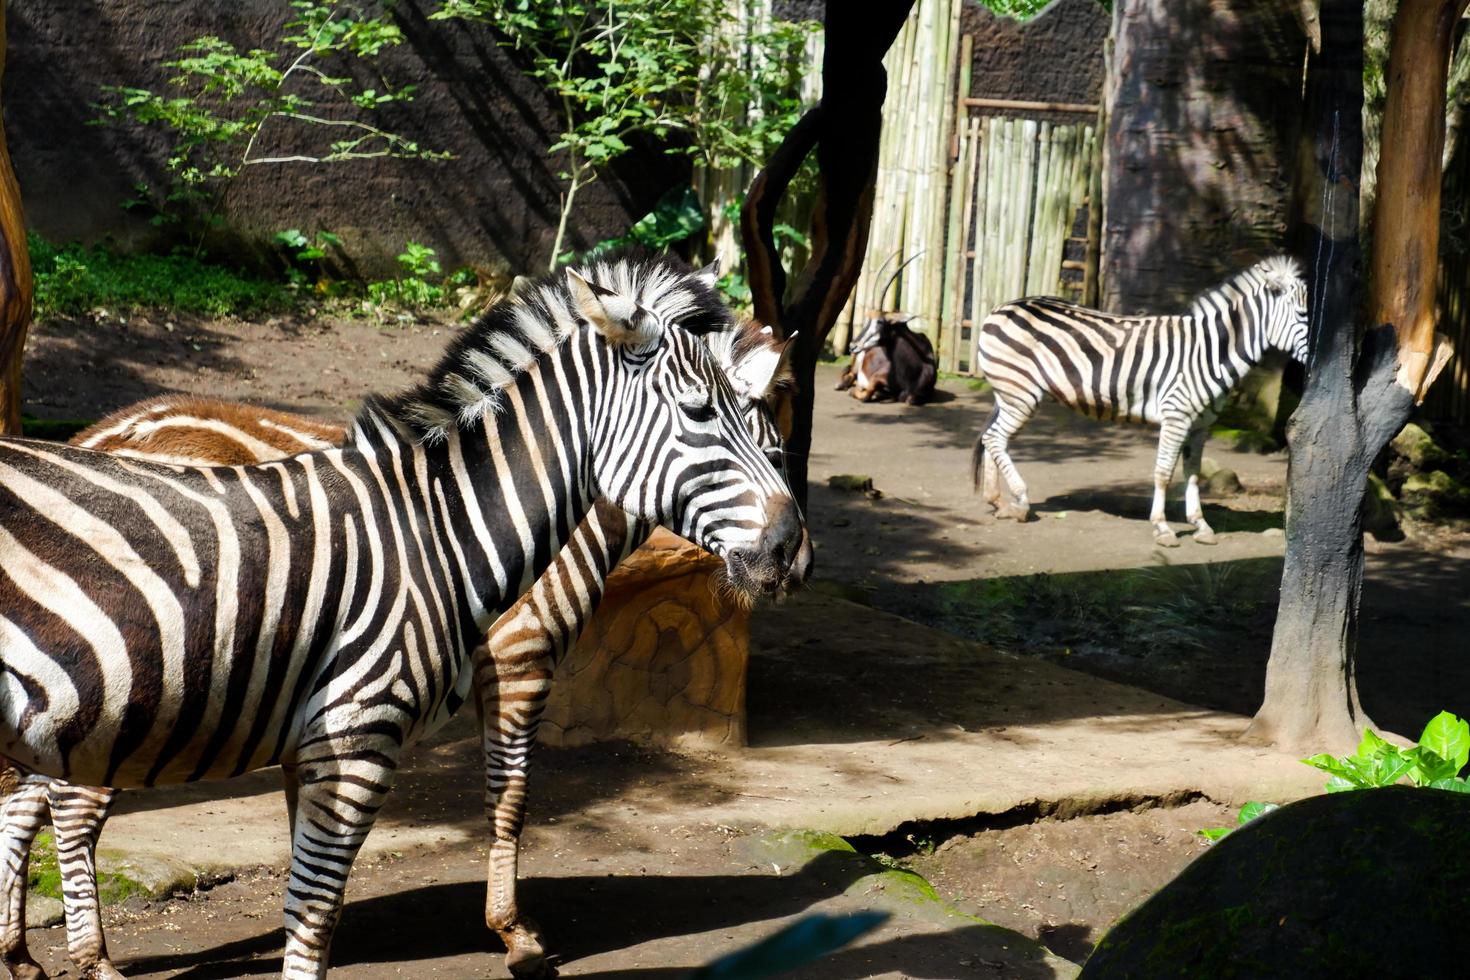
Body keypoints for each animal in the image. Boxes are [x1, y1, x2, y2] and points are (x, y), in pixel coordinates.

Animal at [0, 255, 811, 980]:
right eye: (703, 415)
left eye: (766, 433)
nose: (791, 555)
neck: (444, 524)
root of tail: (101, 429)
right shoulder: (508, 661)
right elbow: (507, 794)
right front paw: (513, 934)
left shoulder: (318, 722)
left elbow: (312, 878)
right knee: (71, 808)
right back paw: (92, 961)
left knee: (25, 801)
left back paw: (22, 954)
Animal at [976, 255, 1311, 543]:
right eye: (1302, 315)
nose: (1312, 364)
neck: (1210, 351)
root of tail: (1002, 307)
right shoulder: (1176, 416)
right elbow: (1163, 473)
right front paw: (1162, 528)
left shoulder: (1201, 424)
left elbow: (1192, 474)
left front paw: (1200, 525)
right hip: (1020, 392)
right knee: (995, 439)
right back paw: (1020, 502)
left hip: (1009, 393)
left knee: (992, 438)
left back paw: (997, 501)